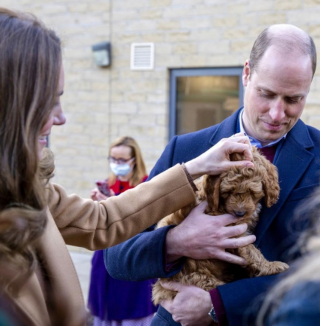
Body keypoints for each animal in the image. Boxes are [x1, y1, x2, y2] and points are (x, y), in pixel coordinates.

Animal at [151, 146, 288, 304]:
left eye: (252, 192)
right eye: (228, 192)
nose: (240, 213)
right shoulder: (227, 230)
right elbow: (250, 250)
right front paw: (271, 266)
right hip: (195, 277)